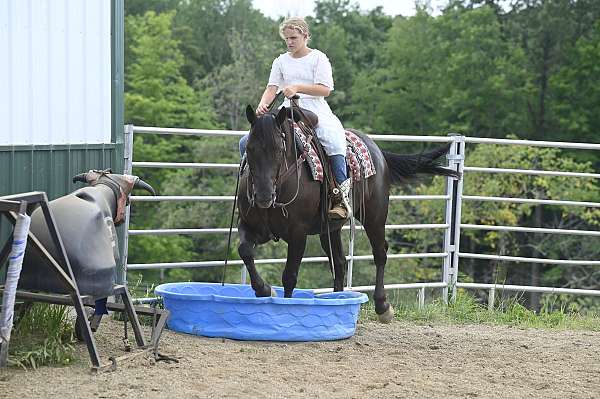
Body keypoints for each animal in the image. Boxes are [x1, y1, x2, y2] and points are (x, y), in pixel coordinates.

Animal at [239, 104, 460, 324]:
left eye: (279, 150)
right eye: (249, 148)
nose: (263, 196)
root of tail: (376, 149)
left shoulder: (298, 234)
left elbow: (290, 275)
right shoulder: (250, 227)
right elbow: (245, 251)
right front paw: (264, 289)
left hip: (374, 217)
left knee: (380, 253)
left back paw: (382, 306)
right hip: (330, 229)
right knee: (339, 263)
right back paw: (338, 299)